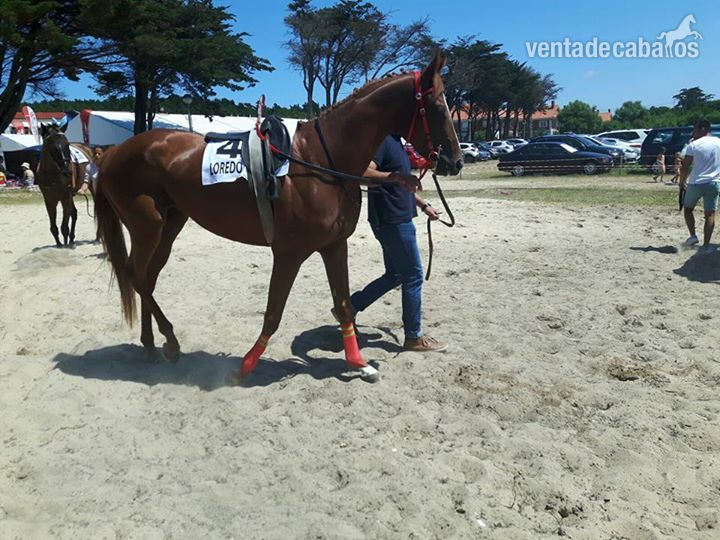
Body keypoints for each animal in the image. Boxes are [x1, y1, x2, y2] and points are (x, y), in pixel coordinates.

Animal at [94, 51, 463, 383]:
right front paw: (243, 368)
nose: (455, 160)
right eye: (437, 105)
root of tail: (113, 153)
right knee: (137, 276)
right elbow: (273, 312)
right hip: (147, 226)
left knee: (147, 277)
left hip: (170, 223)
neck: (321, 162)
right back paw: (169, 341)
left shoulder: (334, 246)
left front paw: (359, 364)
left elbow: (343, 304)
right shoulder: (288, 253)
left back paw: (151, 346)